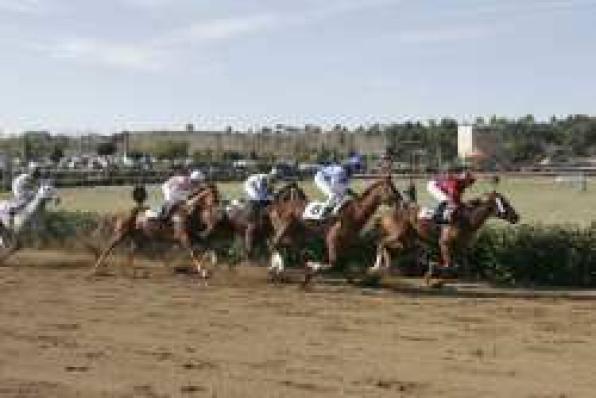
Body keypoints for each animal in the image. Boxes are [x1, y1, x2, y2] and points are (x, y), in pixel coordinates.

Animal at [88, 183, 219, 276]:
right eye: (214, 196)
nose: (218, 205)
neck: (188, 211)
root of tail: (120, 212)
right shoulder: (183, 237)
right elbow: (193, 252)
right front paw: (203, 271)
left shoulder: (193, 235)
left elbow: (208, 244)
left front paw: (214, 261)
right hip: (120, 234)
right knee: (107, 249)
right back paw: (94, 270)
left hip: (138, 239)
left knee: (130, 253)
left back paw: (134, 272)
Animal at [272, 176, 402, 284]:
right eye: (390, 188)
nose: (400, 198)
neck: (354, 213)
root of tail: (279, 204)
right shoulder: (332, 238)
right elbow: (333, 263)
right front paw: (313, 267)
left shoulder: (346, 242)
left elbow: (343, 262)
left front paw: (355, 278)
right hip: (285, 226)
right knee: (276, 244)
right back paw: (280, 270)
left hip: (298, 232)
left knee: (292, 249)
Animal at [370, 191, 520, 284]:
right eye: (505, 203)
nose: (516, 217)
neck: (467, 219)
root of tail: (384, 214)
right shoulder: (444, 243)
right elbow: (449, 265)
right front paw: (433, 278)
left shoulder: (462, 247)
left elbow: (463, 267)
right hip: (399, 234)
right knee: (381, 242)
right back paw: (377, 266)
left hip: (406, 240)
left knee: (388, 247)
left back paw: (387, 267)